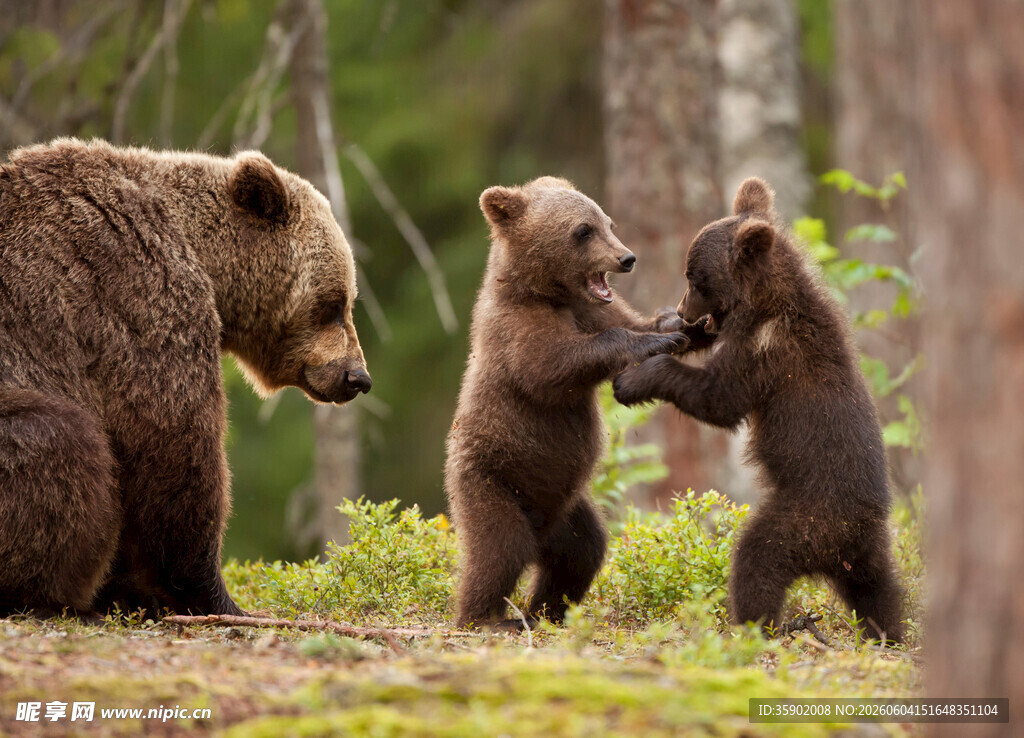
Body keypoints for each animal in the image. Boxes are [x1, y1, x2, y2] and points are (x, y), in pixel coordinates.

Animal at [0, 138, 371, 618]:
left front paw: (132, 590)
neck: (203, 255)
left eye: (347, 299)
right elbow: (173, 444)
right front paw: (214, 596)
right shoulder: (135, 292)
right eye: (334, 303)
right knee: (60, 439)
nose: (357, 376)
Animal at [445, 176, 708, 629]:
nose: (627, 258)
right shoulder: (515, 329)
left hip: (567, 509)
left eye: (608, 222)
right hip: (490, 480)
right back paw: (485, 617)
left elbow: (637, 322)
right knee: (499, 549)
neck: (549, 293)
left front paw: (688, 326)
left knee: (582, 551)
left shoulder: (594, 308)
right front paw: (651, 342)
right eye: (583, 230)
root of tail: (541, 529)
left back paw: (545, 610)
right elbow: (552, 366)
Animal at [612, 177, 905, 643]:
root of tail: (849, 536)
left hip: (805, 518)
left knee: (758, 558)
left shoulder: (766, 353)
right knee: (880, 589)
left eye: (695, 277)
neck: (763, 304)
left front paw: (634, 380)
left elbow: (719, 398)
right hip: (866, 550)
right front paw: (669, 331)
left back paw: (755, 624)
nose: (683, 309)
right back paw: (889, 632)